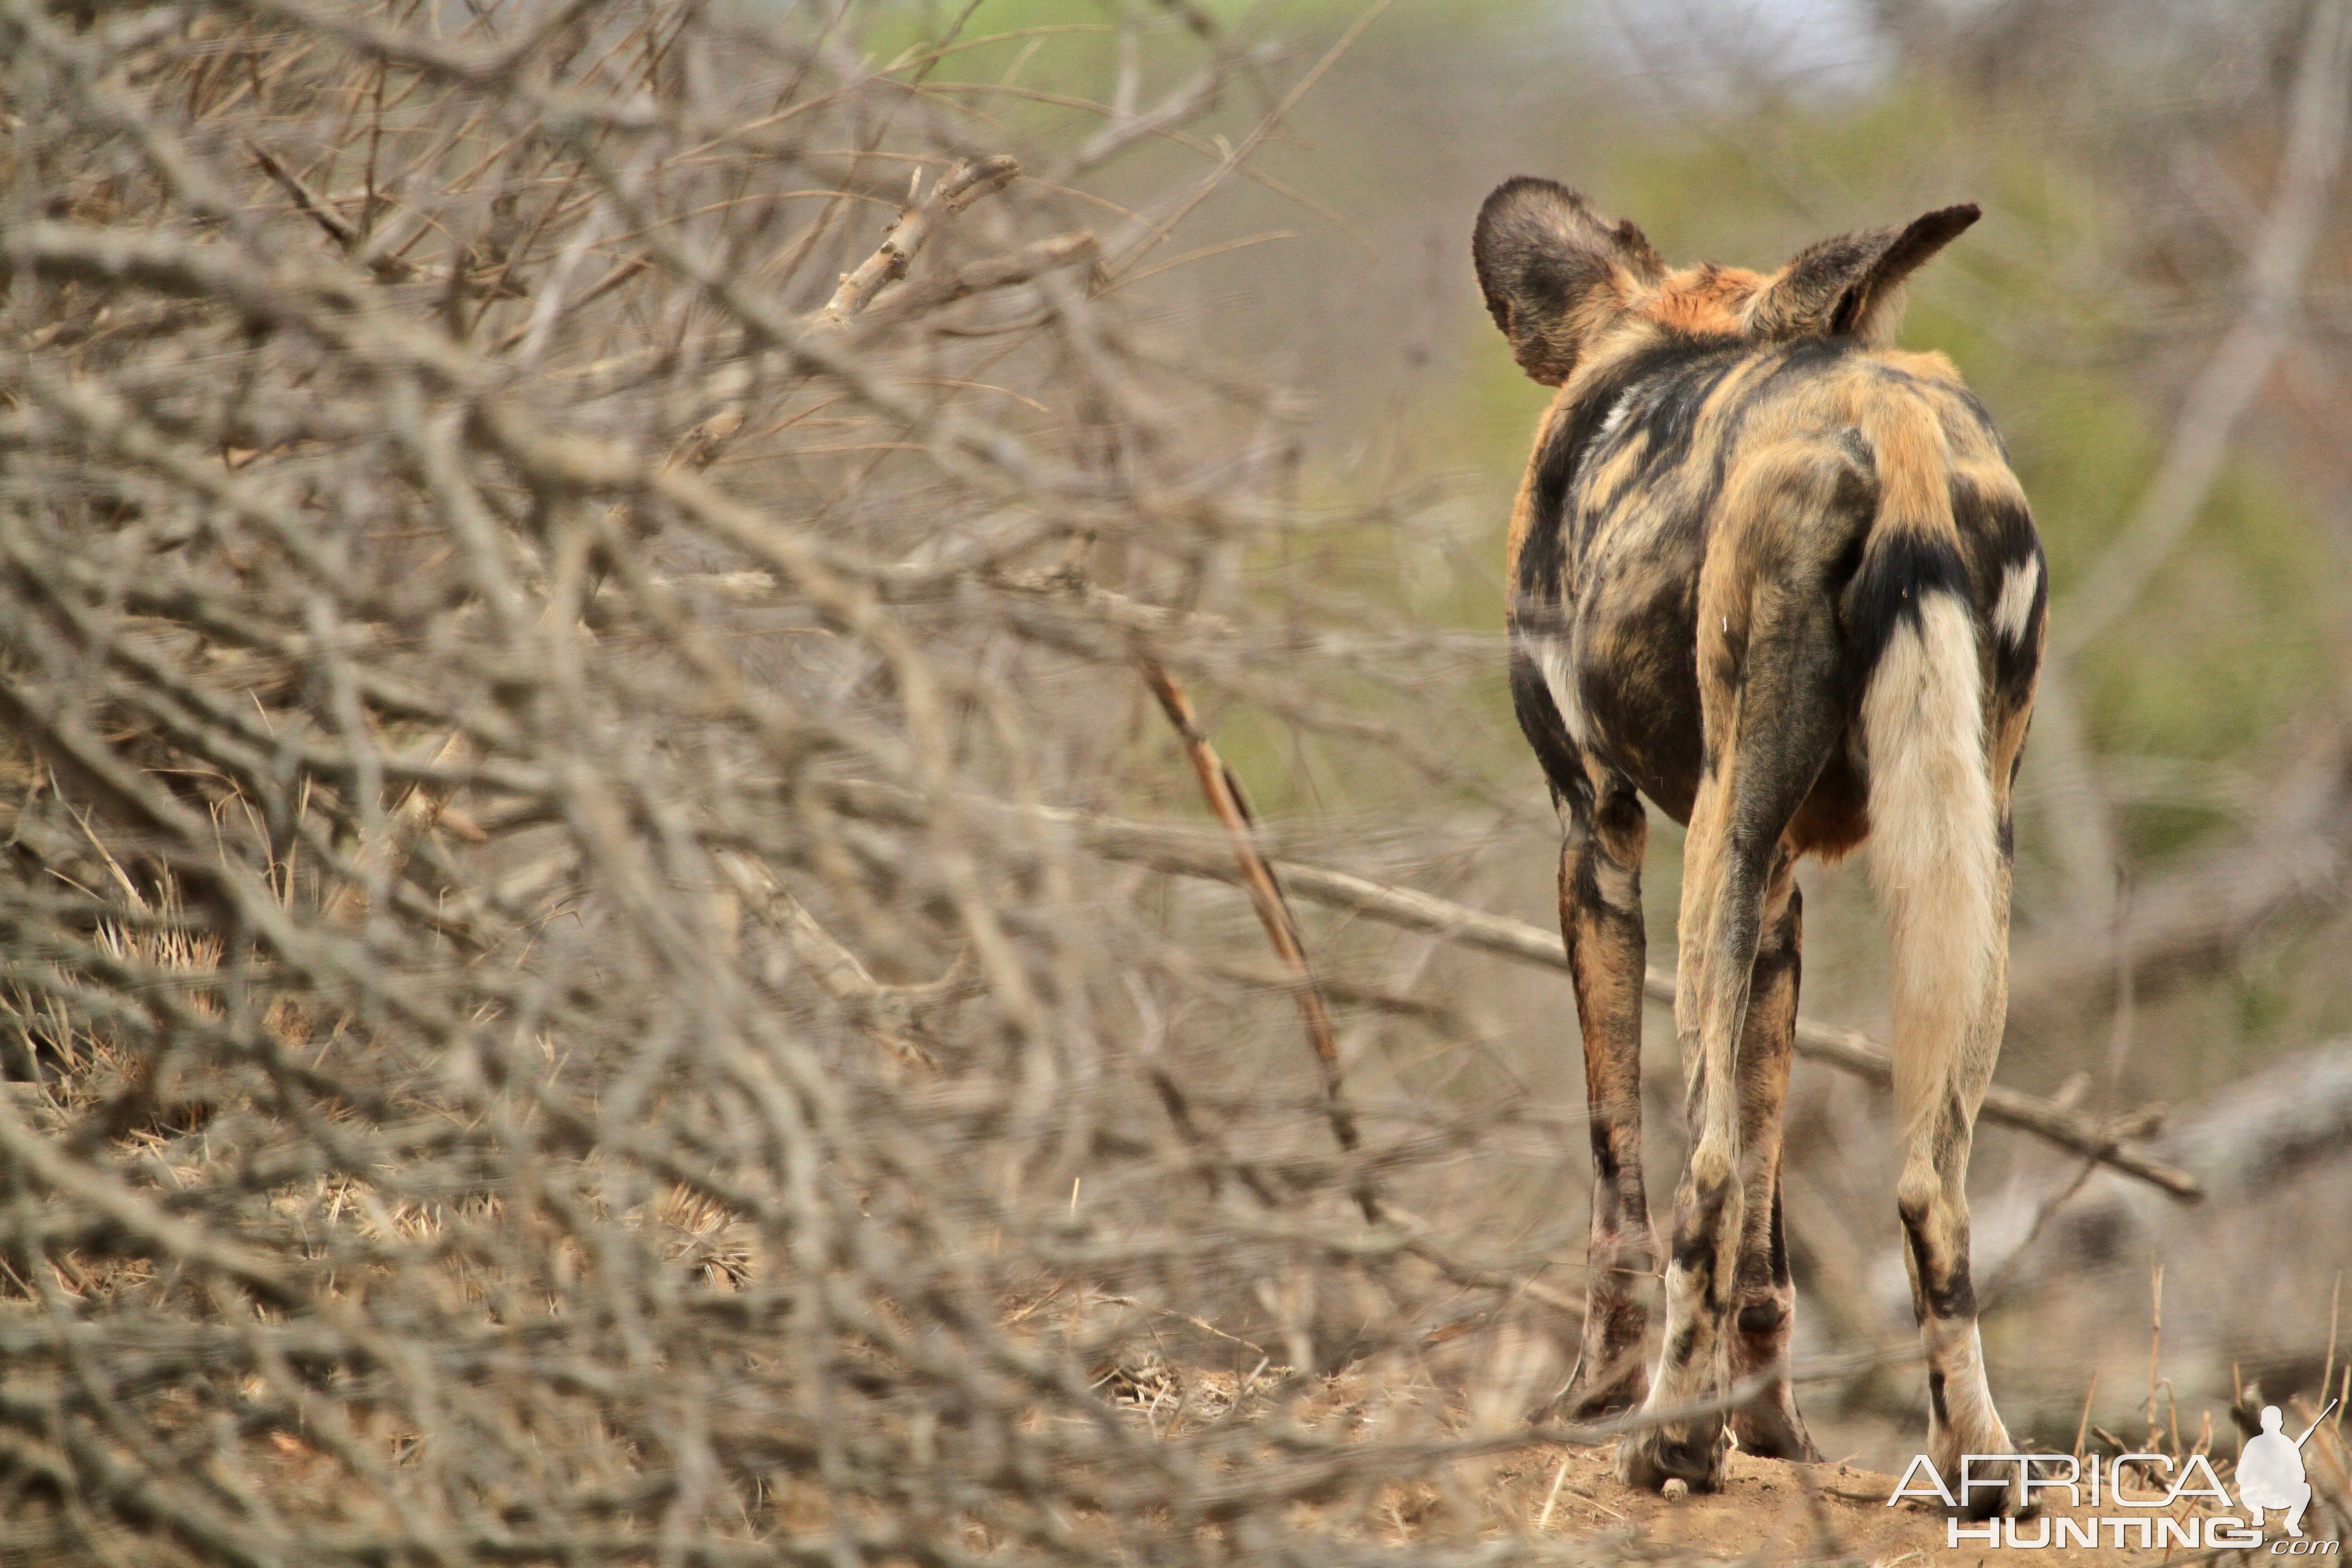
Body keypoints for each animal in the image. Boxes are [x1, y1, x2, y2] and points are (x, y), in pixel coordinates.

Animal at [1477, 177, 2051, 1514]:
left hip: (1713, 848)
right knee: (1929, 1183)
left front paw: (1603, 1400)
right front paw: (1774, 1433)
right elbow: (1770, 1231)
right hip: (1964, 858)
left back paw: (1664, 1445)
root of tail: (1892, 427)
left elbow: (1629, 1174)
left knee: (1701, 1175)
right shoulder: (1786, 890)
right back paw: (1973, 1460)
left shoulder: (1597, 831)